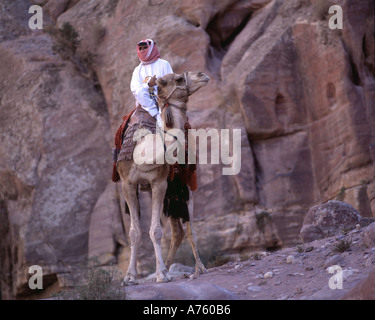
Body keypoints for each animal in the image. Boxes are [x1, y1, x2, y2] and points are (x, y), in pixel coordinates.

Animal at [117, 71, 210, 284]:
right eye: (178, 79)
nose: (202, 75)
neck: (143, 149)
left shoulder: (158, 183)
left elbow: (156, 231)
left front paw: (161, 274)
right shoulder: (128, 183)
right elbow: (134, 232)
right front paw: (130, 277)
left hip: (185, 187)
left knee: (189, 229)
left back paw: (198, 268)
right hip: (171, 194)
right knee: (178, 232)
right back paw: (166, 268)